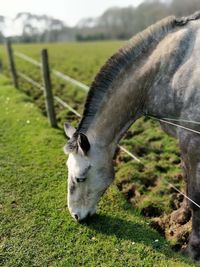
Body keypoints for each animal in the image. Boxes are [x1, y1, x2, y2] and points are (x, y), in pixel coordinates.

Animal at [63, 11, 200, 260]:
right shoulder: (182, 138)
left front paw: (192, 251)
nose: (75, 215)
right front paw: (179, 217)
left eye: (80, 178)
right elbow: (185, 179)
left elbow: (196, 196)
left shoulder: (192, 140)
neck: (173, 68)